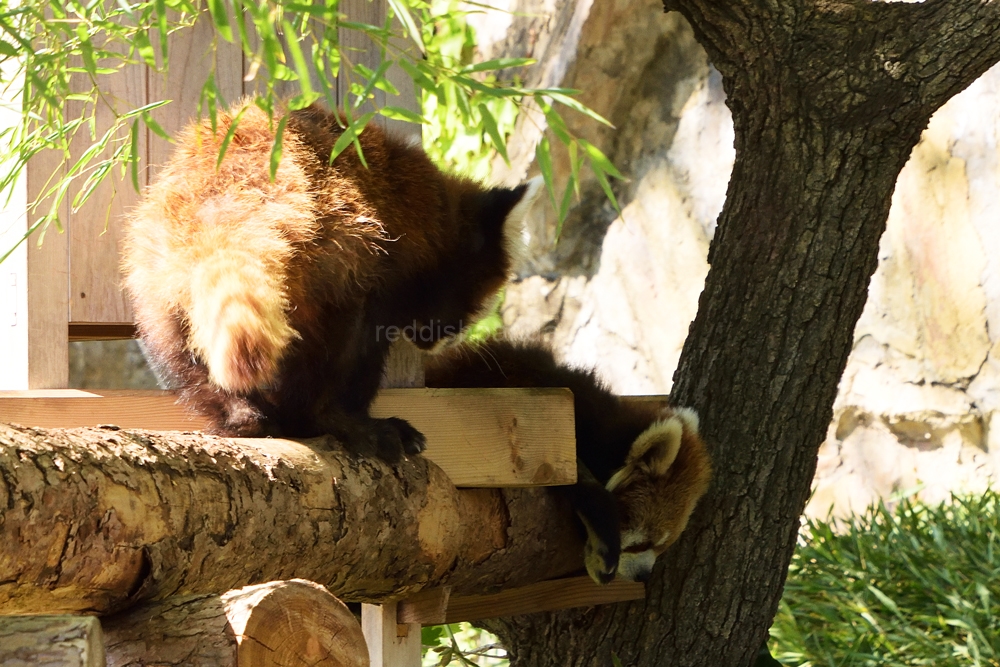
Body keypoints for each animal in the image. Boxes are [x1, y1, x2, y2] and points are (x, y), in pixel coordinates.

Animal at [126, 102, 548, 462]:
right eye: (475, 305)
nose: (450, 339)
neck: (429, 209)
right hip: (337, 257)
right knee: (338, 354)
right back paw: (349, 425)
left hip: (157, 274)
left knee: (179, 354)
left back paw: (243, 417)